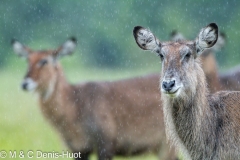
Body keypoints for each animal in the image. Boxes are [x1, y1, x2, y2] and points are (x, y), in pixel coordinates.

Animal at [12, 37, 178, 160]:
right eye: (28, 60)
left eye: (44, 61)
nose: (25, 83)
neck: (74, 105)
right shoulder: (78, 149)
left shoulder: (105, 143)